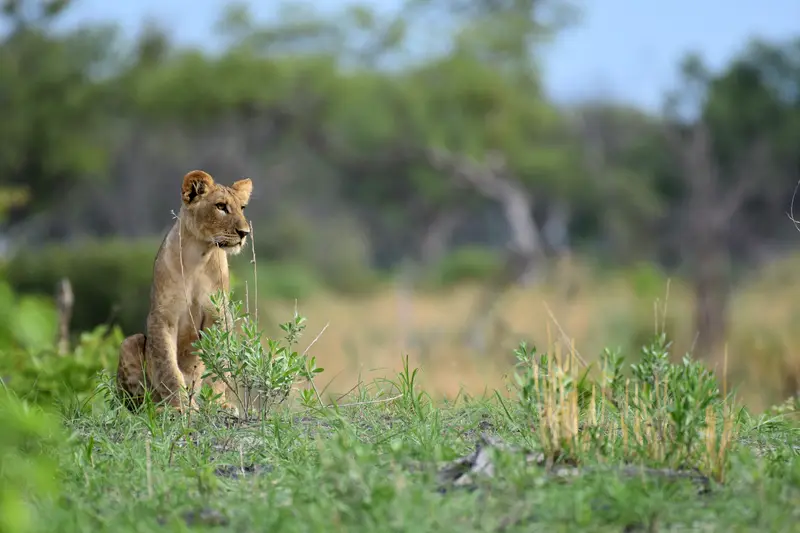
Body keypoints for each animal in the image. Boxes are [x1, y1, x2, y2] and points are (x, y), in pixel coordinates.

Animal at [116, 169, 252, 413]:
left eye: (242, 207)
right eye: (221, 206)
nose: (245, 232)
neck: (200, 254)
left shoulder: (219, 314)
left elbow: (220, 361)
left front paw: (220, 404)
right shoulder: (163, 316)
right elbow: (167, 366)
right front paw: (179, 407)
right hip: (129, 343)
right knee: (138, 403)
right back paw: (157, 408)